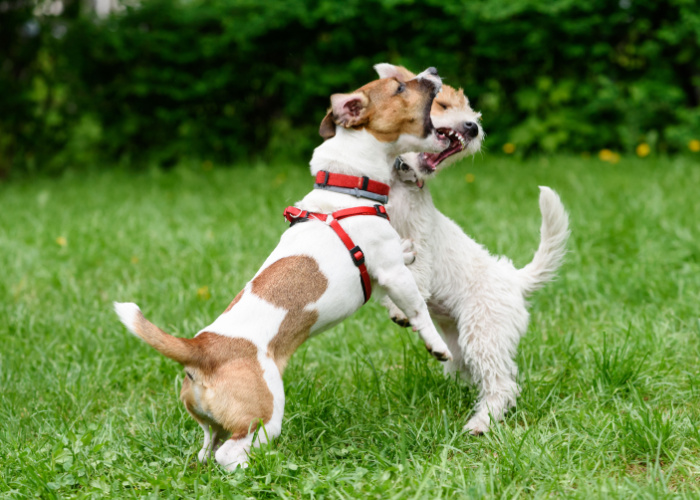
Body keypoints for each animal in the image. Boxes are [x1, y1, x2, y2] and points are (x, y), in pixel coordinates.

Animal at [113, 68, 454, 470]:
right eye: (399, 86)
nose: (432, 72)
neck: (347, 188)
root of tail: (200, 350)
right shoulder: (391, 274)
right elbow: (418, 310)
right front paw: (437, 346)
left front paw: (408, 251)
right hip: (266, 413)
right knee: (230, 454)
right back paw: (262, 468)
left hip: (209, 422)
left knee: (207, 447)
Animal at [378, 64, 568, 436]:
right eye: (442, 105)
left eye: (473, 113)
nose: (474, 127)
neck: (400, 181)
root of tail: (513, 279)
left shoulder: (420, 247)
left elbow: (411, 277)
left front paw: (397, 309)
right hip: (461, 346)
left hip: (483, 335)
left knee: (502, 385)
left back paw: (481, 423)